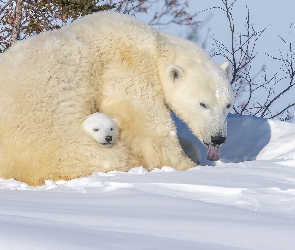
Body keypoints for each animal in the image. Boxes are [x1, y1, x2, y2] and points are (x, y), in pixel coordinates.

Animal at [0, 11, 235, 185]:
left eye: (227, 105)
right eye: (203, 104)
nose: (218, 138)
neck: (153, 46)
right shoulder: (125, 65)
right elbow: (147, 122)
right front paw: (186, 165)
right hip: (47, 135)